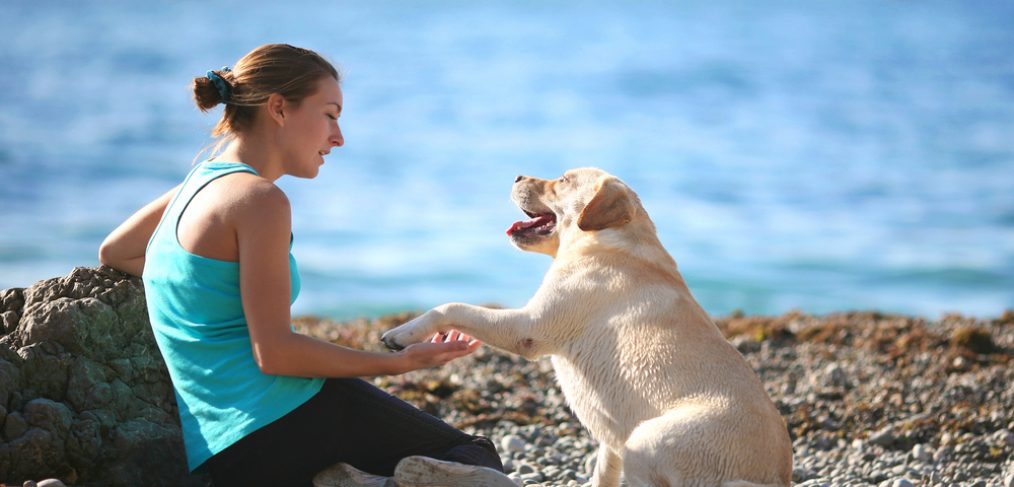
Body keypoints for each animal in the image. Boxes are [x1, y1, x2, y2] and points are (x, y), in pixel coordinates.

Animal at [381, 168, 790, 487]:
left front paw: (403, 333)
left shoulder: (529, 326)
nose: (516, 176)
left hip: (650, 439)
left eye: (562, 180)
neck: (608, 239)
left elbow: (452, 306)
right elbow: (604, 470)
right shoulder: (612, 439)